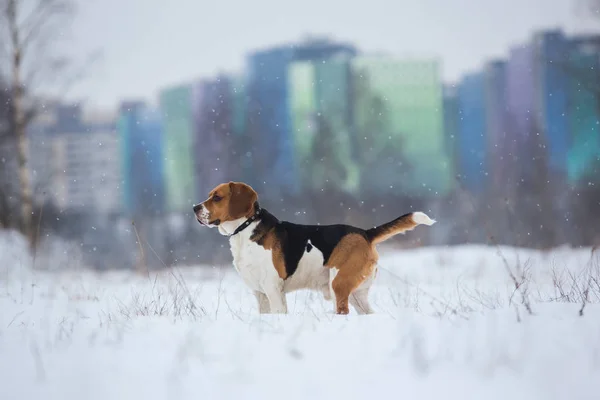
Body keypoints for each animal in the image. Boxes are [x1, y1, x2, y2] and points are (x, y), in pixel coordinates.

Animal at [195, 182, 434, 316]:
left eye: (217, 197)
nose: (194, 208)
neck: (246, 229)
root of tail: (365, 233)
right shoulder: (260, 293)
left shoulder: (273, 289)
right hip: (357, 294)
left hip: (339, 284)